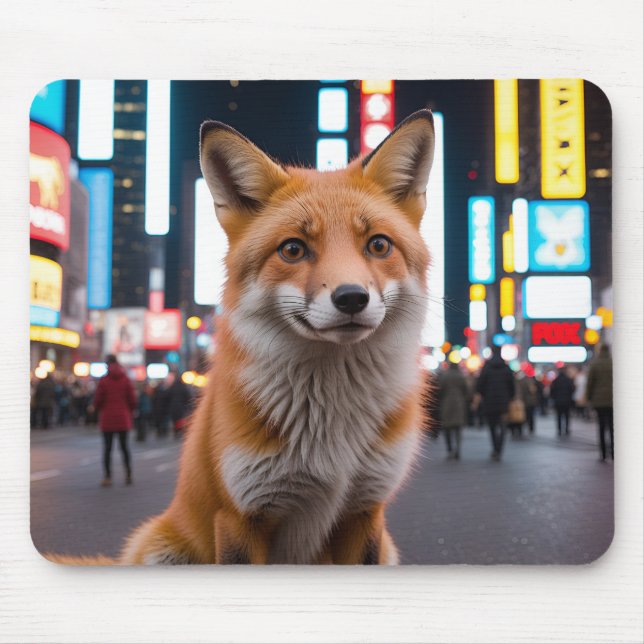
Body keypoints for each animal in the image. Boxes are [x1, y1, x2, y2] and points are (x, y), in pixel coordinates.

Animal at [46, 108, 435, 565]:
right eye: (293, 250)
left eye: (378, 245)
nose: (352, 298)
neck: (331, 425)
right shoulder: (239, 516)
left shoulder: (364, 511)